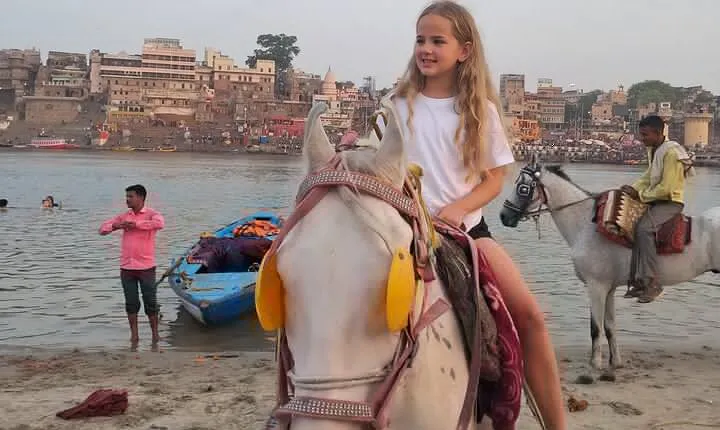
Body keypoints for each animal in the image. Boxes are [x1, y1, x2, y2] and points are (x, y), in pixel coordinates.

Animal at [498, 153, 720, 370]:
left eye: (523, 188)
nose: (504, 216)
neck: (587, 225)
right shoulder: (609, 288)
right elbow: (610, 326)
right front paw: (615, 362)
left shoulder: (596, 286)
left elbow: (595, 328)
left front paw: (595, 364)